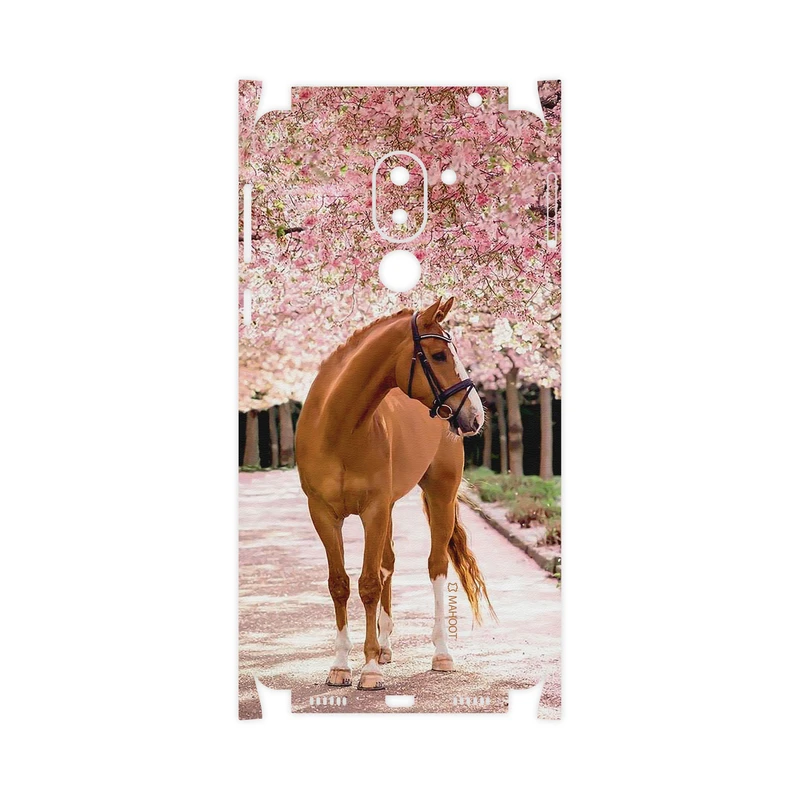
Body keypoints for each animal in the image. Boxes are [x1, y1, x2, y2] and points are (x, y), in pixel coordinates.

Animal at [295, 297, 494, 690]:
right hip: (388, 508)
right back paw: (385, 647)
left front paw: (369, 670)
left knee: (435, 566)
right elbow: (340, 584)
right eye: (438, 355)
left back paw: (441, 653)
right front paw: (341, 666)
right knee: (388, 563)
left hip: (439, 494)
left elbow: (369, 583)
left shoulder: (373, 510)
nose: (476, 416)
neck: (338, 428)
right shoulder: (324, 513)